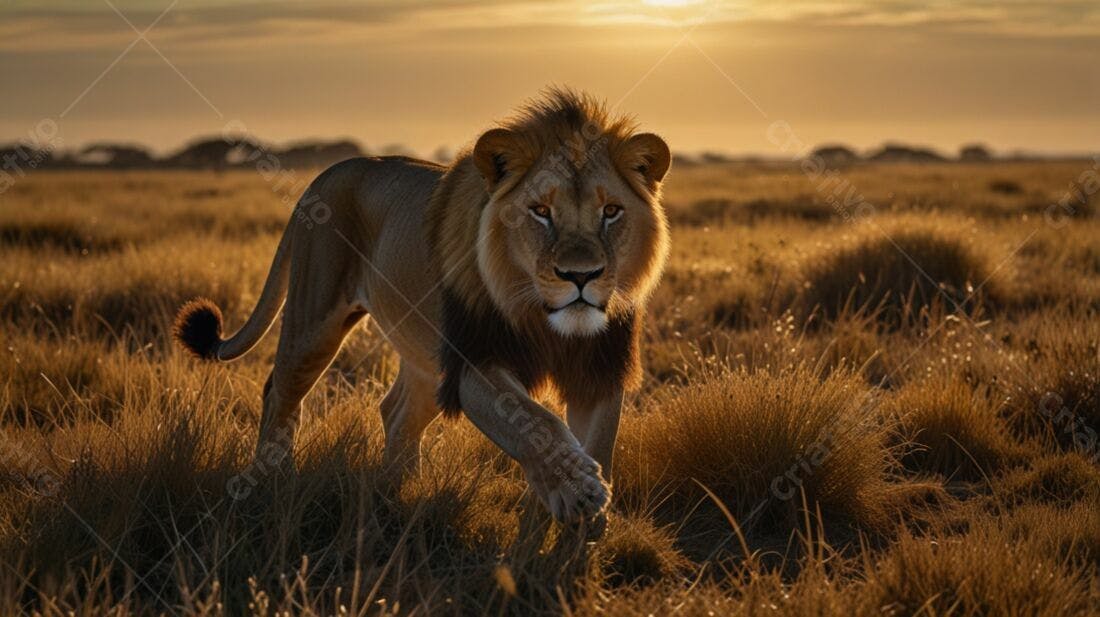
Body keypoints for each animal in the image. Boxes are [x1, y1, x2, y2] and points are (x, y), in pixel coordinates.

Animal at [173, 88, 671, 524]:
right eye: (540, 212)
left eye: (611, 211)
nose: (581, 276)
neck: (545, 319)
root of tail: (326, 173)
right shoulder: (472, 363)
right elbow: (537, 423)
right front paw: (579, 492)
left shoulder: (602, 368)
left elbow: (596, 443)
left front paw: (574, 541)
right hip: (315, 322)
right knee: (278, 390)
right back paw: (272, 481)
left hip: (427, 359)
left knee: (394, 411)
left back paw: (398, 489)